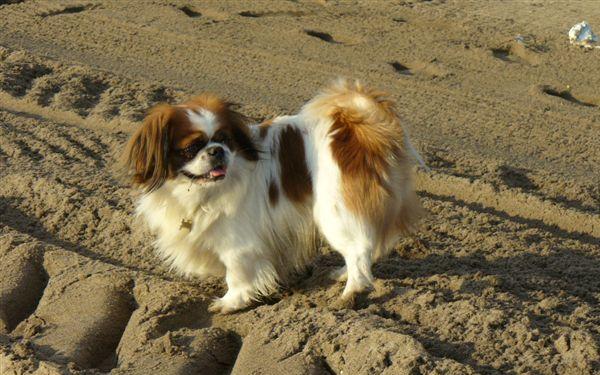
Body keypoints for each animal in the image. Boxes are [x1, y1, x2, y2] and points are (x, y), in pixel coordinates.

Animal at [123, 80, 422, 314]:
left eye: (225, 139)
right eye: (191, 148)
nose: (217, 151)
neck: (197, 189)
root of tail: (360, 127)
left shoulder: (239, 244)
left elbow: (237, 275)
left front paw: (230, 303)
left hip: (335, 215)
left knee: (359, 252)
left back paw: (350, 294)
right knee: (368, 248)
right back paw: (342, 275)